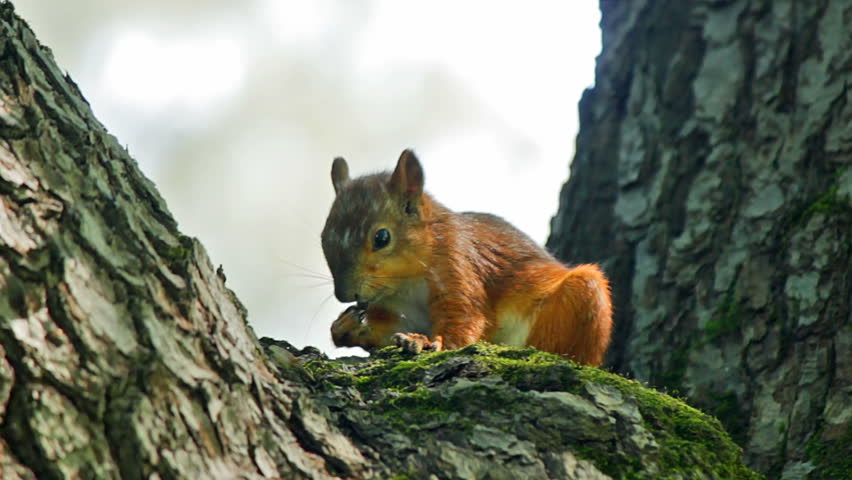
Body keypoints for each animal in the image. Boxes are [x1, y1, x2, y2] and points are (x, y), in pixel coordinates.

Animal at [321, 149, 613, 366]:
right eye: (323, 235)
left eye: (382, 237)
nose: (345, 296)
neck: (406, 281)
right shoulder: (396, 308)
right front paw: (347, 328)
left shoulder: (459, 266)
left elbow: (464, 316)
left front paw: (429, 342)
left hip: (582, 295)